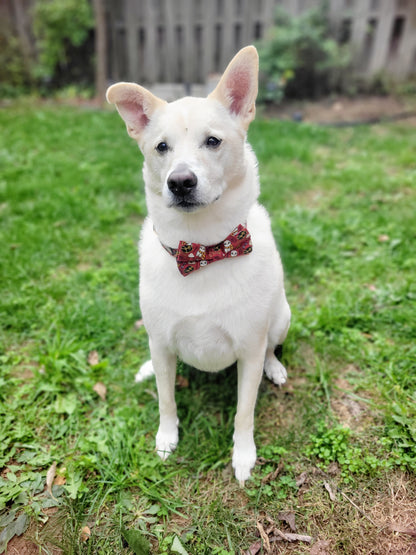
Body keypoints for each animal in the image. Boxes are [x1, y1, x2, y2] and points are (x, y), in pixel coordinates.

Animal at [105, 45, 290, 484]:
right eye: (161, 147)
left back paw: (276, 368)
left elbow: (244, 412)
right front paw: (166, 438)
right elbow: (166, 400)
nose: (180, 182)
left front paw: (243, 456)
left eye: (213, 141)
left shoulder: (248, 351)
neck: (204, 250)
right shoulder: (162, 343)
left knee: (272, 347)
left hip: (282, 317)